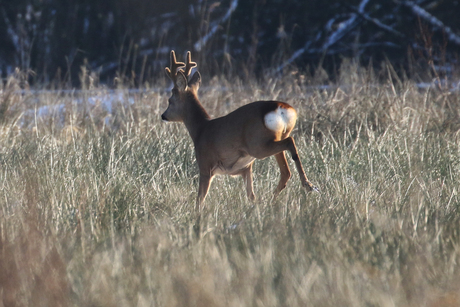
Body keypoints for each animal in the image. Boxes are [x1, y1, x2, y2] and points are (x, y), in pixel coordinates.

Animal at [162, 51, 316, 212]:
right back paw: (274, 199)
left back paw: (307, 185)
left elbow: (200, 200)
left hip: (258, 145)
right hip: (275, 138)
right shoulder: (244, 168)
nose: (163, 115)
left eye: (170, 100)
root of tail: (282, 108)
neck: (200, 129)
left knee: (290, 143)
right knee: (286, 170)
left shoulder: (205, 165)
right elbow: (251, 196)